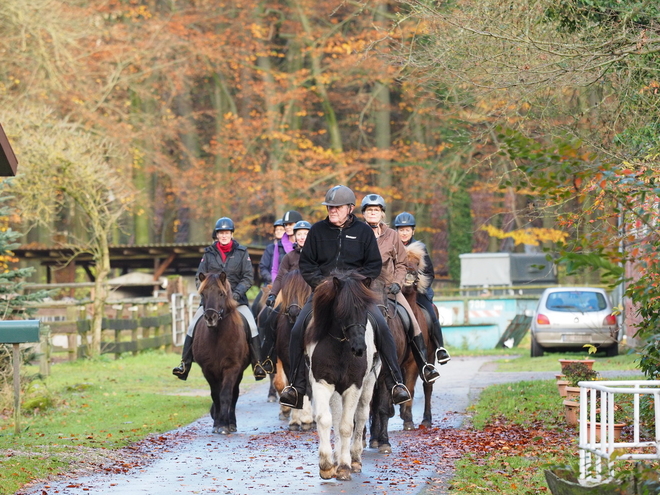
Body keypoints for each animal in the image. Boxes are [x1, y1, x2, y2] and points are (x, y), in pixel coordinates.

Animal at [193, 274, 253, 436]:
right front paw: (217, 424)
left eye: (221, 294)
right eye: (203, 294)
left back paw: (231, 423)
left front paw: (225, 426)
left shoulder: (232, 367)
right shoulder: (208, 369)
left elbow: (226, 395)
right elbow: (215, 395)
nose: (210, 317)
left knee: (234, 394)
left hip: (238, 372)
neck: (217, 336)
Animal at [272, 270, 316, 432]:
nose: (294, 312)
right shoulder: (287, 361)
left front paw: (307, 419)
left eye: (305, 289)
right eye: (287, 291)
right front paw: (295, 420)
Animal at [306, 274, 382, 482]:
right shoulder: (322, 383)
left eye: (365, 309)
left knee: (361, 415)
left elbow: (347, 426)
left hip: (368, 384)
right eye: (340, 309)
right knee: (337, 416)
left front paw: (344, 466)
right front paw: (326, 465)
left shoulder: (354, 385)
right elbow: (325, 419)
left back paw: (354, 459)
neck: (340, 348)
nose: (359, 348)